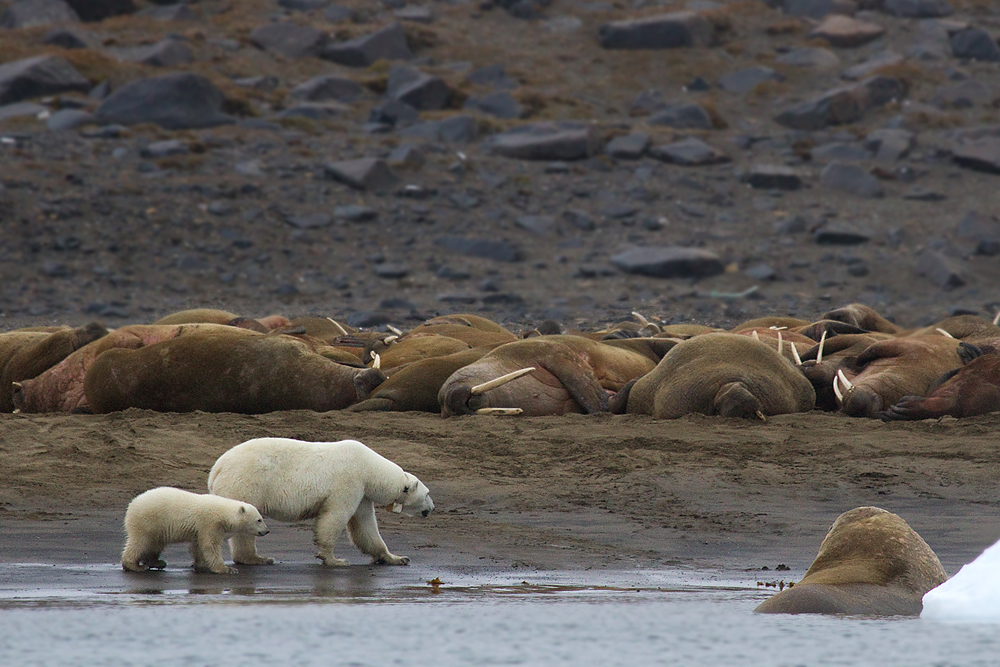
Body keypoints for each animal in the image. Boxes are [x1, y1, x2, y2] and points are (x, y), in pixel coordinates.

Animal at [207, 440, 434, 568]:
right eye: (427, 494)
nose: (432, 508)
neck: (369, 467)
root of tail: (216, 469)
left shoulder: (362, 493)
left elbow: (365, 526)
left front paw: (397, 558)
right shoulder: (349, 481)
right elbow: (335, 516)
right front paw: (335, 560)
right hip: (247, 482)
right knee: (246, 523)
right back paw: (257, 558)